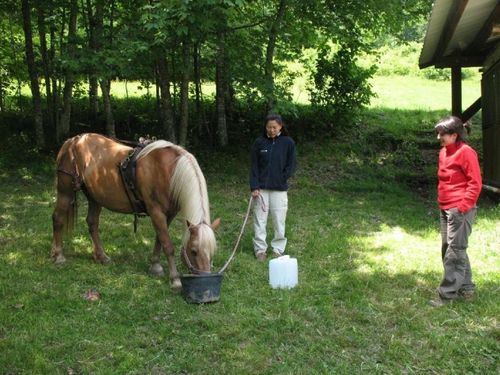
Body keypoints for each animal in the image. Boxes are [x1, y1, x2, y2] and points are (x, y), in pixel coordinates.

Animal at [51, 134, 221, 290]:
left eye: (212, 250)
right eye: (193, 251)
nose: (205, 278)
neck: (169, 171)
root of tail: (73, 141)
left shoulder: (168, 215)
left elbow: (159, 239)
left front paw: (155, 266)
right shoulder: (156, 212)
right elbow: (167, 245)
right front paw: (174, 279)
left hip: (95, 198)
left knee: (92, 223)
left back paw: (101, 256)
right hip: (65, 192)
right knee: (58, 218)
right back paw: (58, 256)